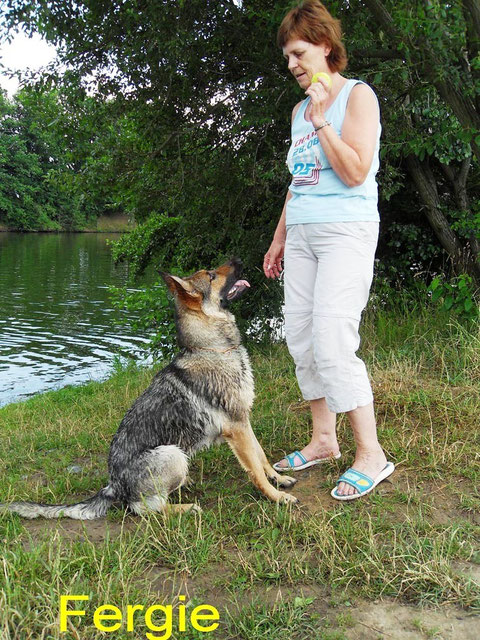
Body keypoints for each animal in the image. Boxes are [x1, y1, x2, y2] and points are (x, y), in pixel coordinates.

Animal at [1, 258, 298, 516]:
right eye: (212, 275)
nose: (238, 259)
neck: (210, 348)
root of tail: (113, 487)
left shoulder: (243, 421)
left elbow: (261, 456)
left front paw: (278, 478)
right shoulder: (236, 428)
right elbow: (255, 470)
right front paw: (275, 496)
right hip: (172, 454)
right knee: (145, 508)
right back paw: (185, 508)